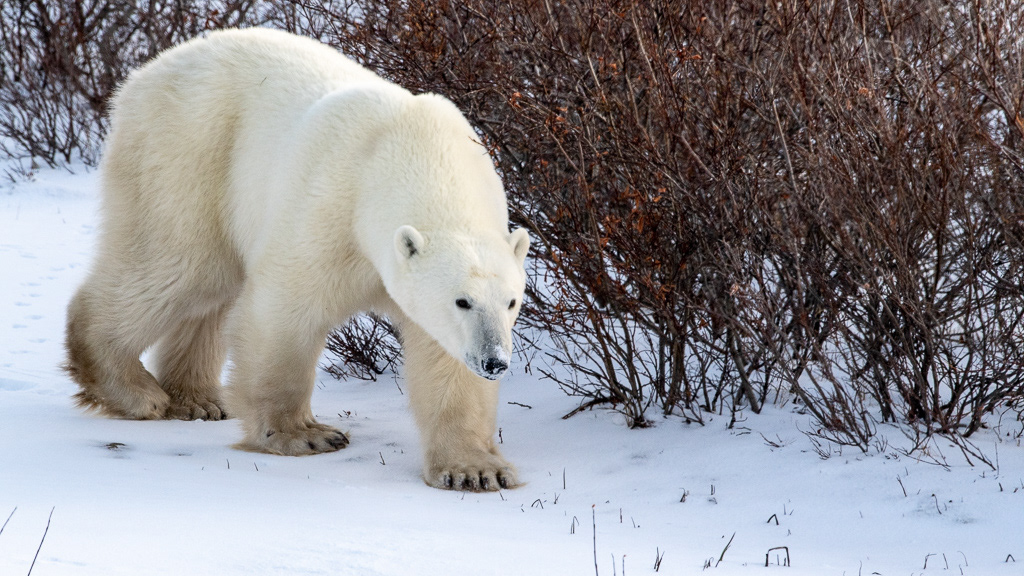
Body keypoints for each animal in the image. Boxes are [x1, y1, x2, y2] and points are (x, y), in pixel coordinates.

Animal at [66, 28, 528, 487]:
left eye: (512, 302)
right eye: (462, 301)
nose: (494, 362)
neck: (412, 152)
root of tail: (148, 69)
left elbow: (446, 357)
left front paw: (474, 470)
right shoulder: (331, 210)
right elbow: (286, 312)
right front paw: (303, 434)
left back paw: (198, 399)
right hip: (188, 154)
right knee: (178, 266)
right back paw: (134, 390)